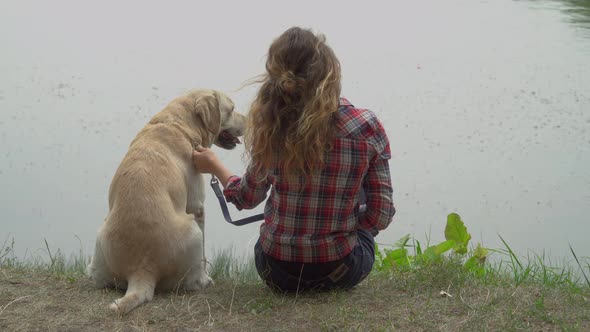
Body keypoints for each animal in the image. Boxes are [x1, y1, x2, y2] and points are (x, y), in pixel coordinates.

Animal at [86, 88, 246, 314]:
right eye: (231, 109)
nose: (248, 120)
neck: (179, 125)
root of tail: (141, 271)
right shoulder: (196, 205)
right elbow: (205, 254)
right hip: (192, 228)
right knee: (193, 279)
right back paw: (204, 281)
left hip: (101, 236)